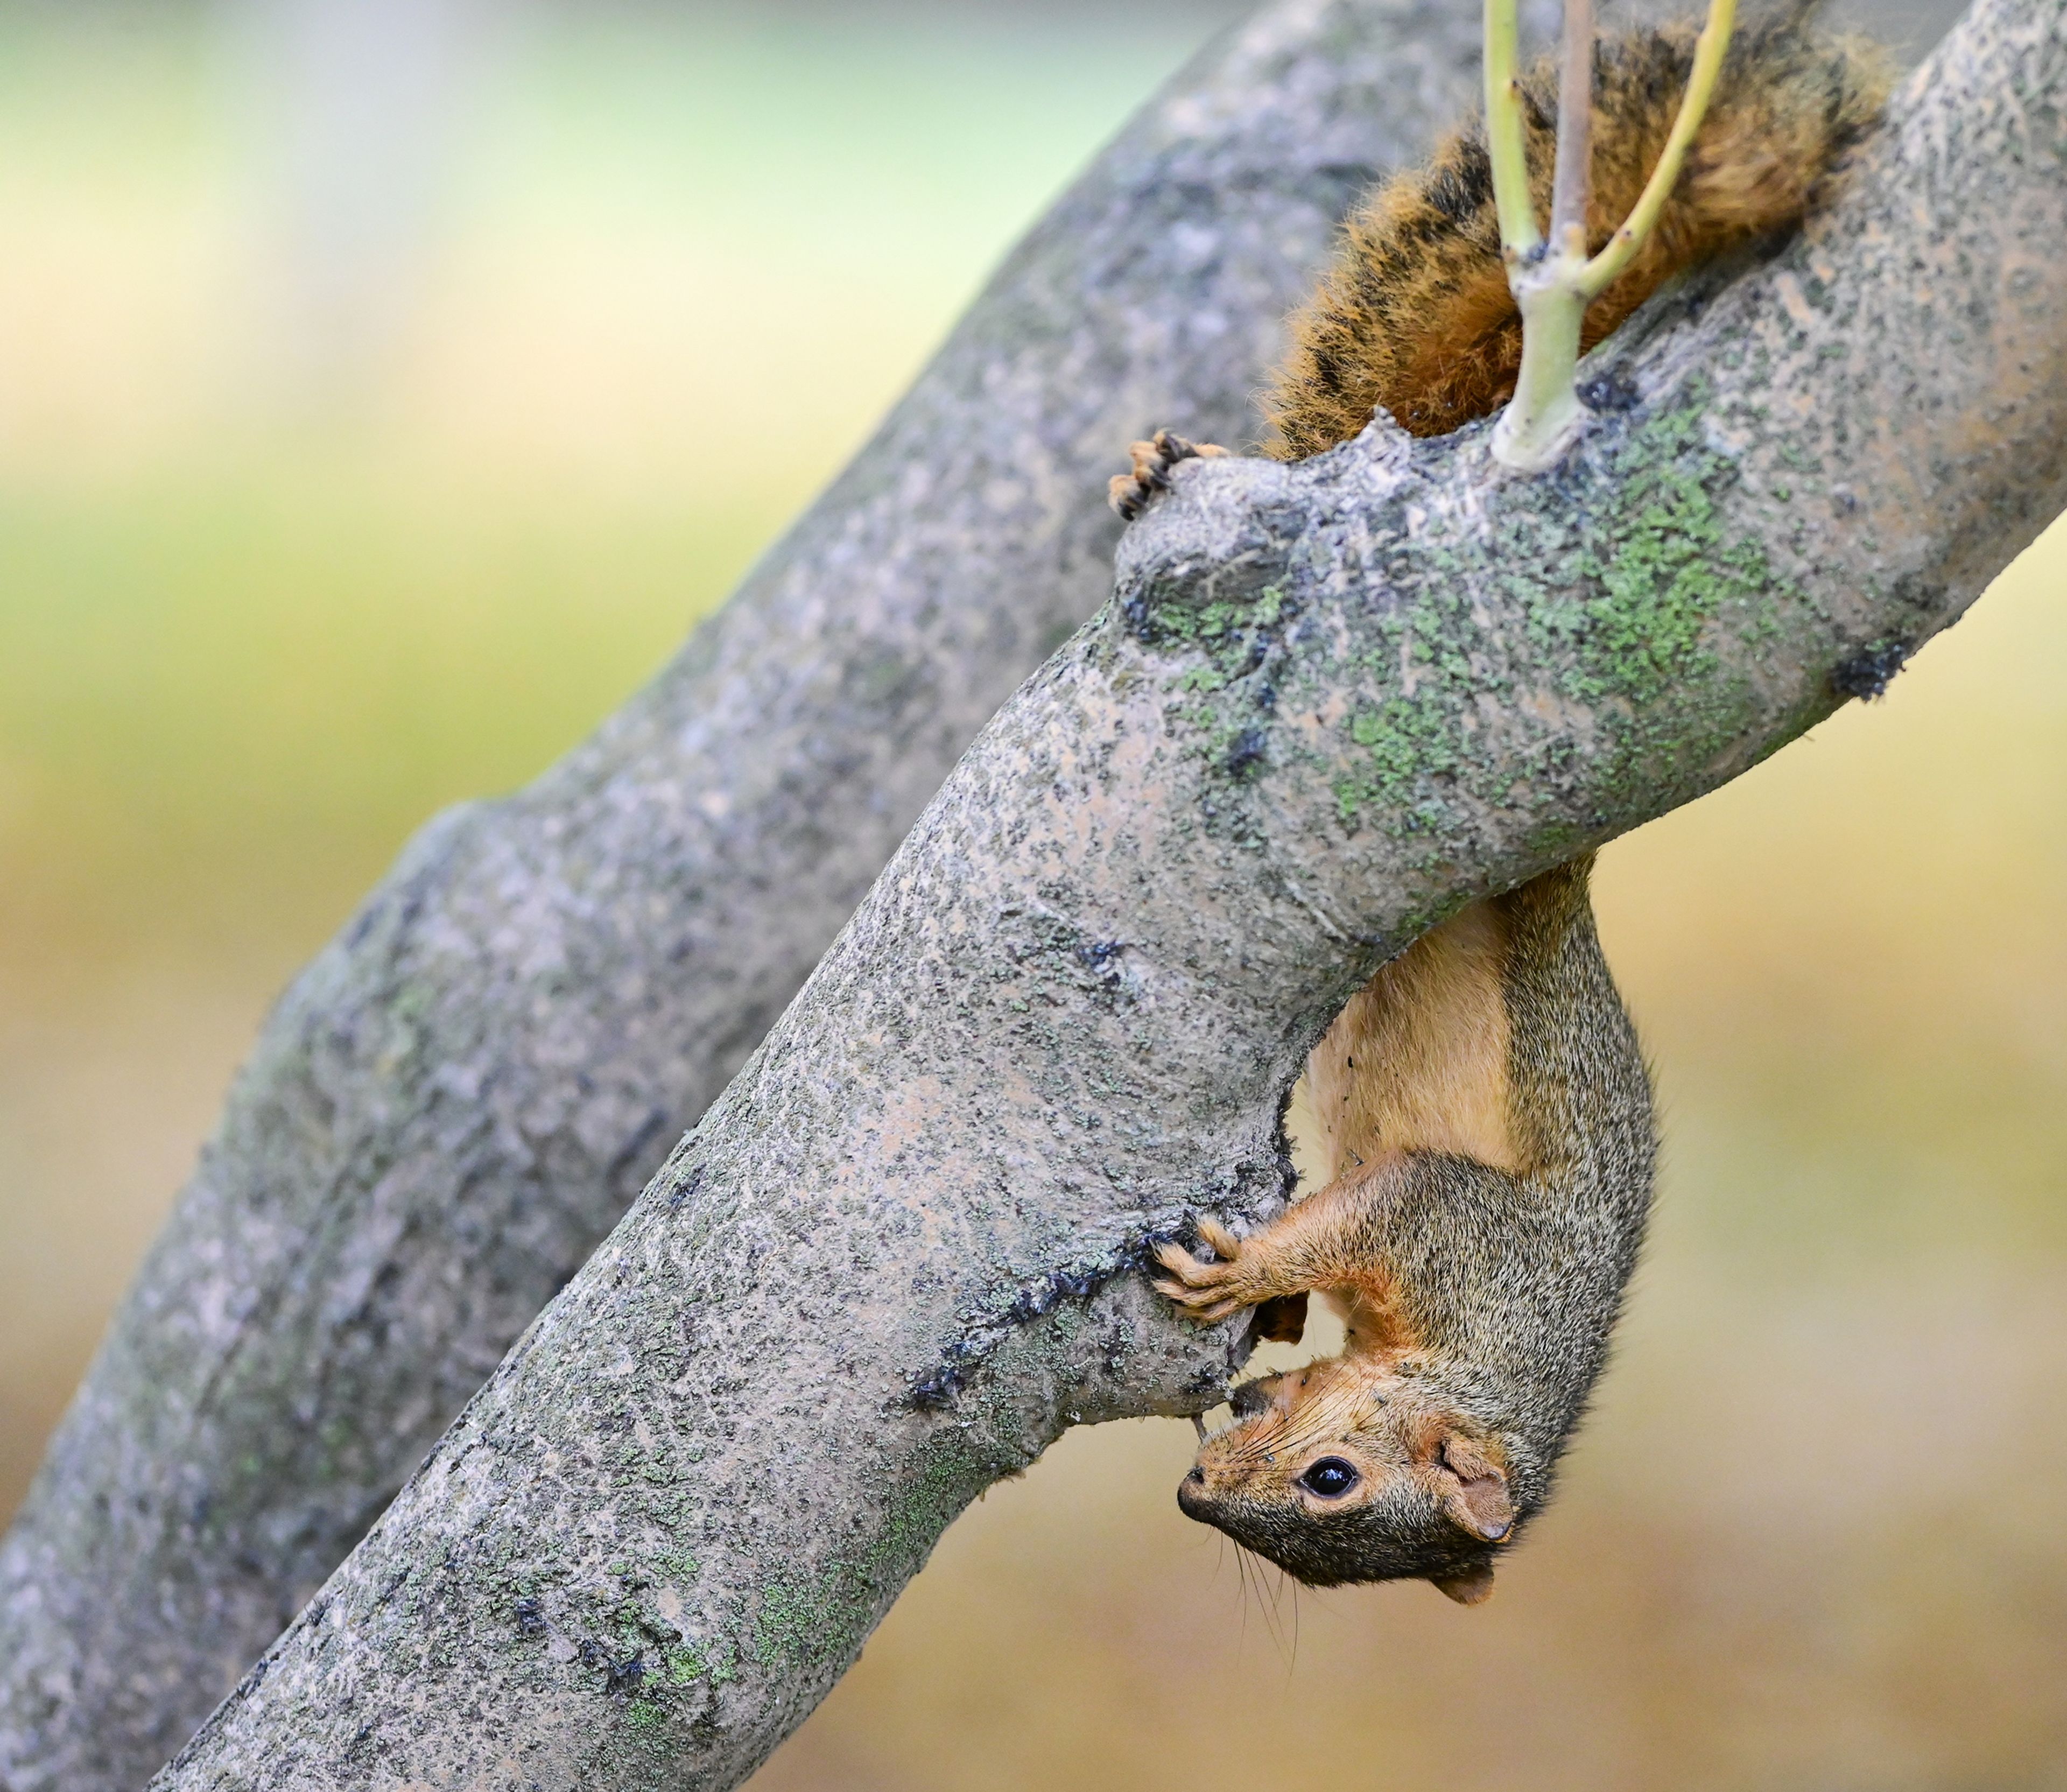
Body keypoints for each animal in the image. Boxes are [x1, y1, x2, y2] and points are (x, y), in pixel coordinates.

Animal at [1116, 7, 1893, 1596]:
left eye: (1325, 1496)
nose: (1196, 1492)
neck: (1482, 1360)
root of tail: (1564, 869)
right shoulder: (1461, 1225)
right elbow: (1388, 1197)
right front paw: (1261, 1275)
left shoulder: (1440, 1233)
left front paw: (1262, 1300)